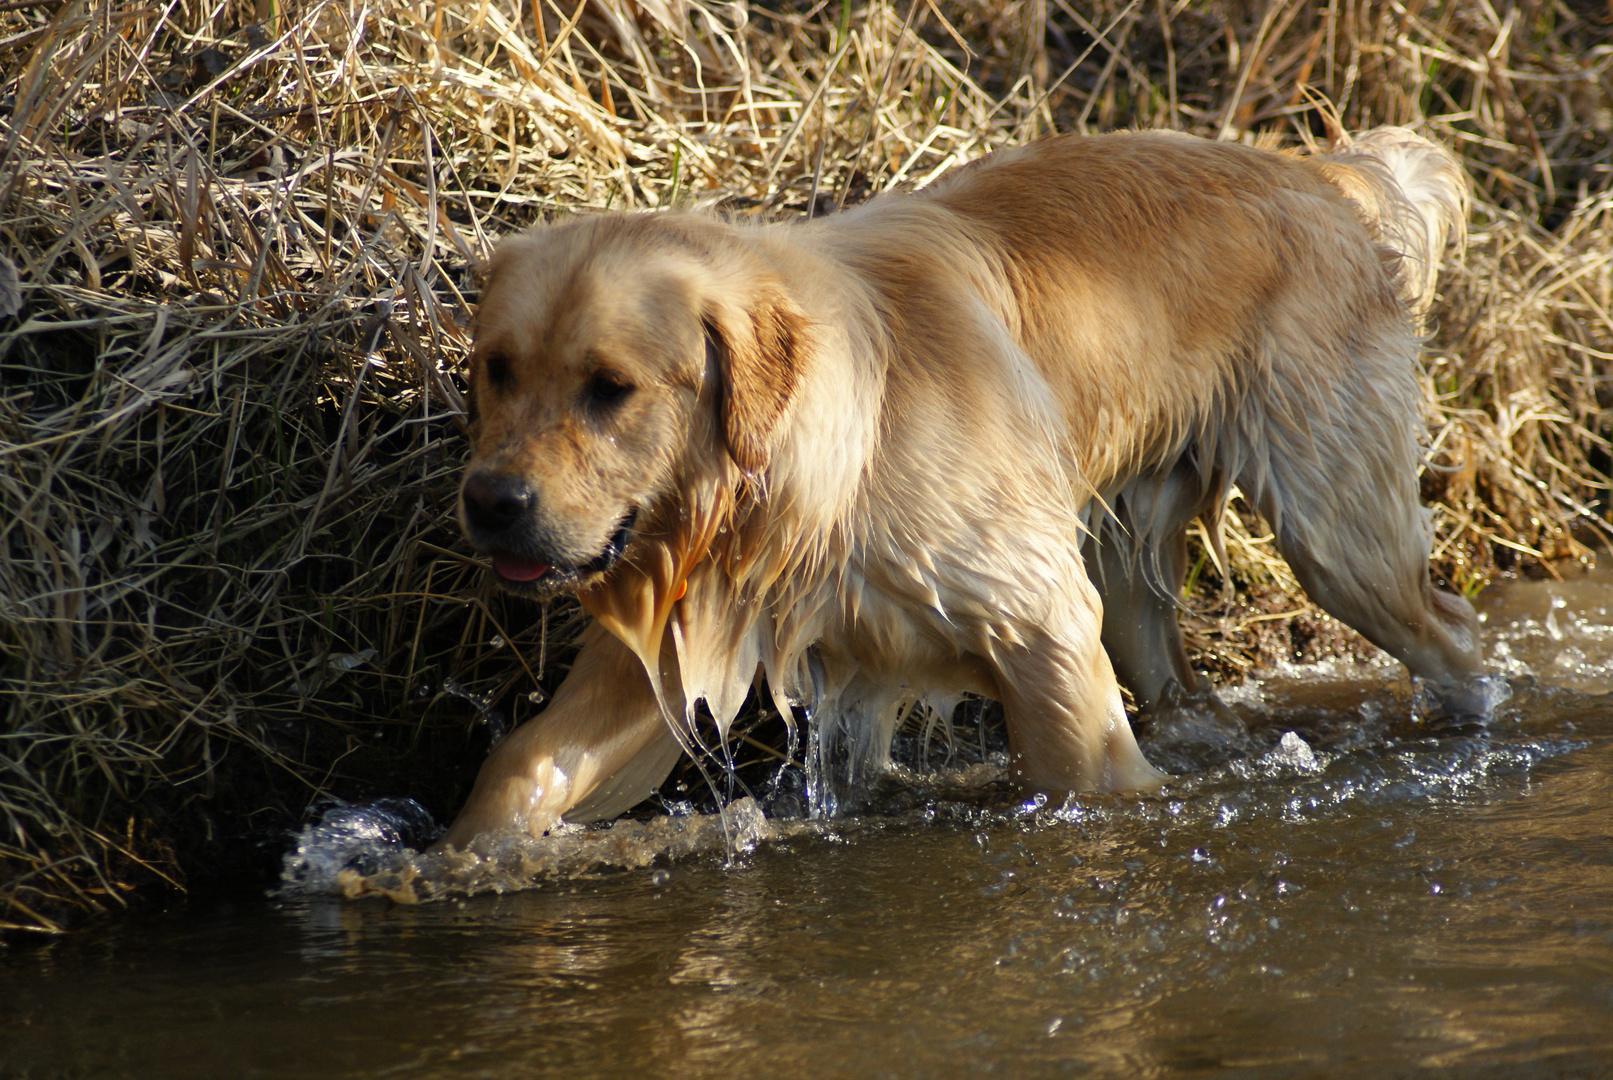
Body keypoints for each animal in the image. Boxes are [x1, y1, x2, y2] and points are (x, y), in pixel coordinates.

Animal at [438, 127, 1483, 851]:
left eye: (609, 386)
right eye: (496, 369)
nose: (490, 503)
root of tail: (1321, 174)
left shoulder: (1040, 624)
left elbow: (1088, 778)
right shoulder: (667, 633)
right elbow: (523, 761)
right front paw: (459, 863)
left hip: (1334, 529)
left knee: (1446, 626)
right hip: (1128, 566)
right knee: (1175, 674)